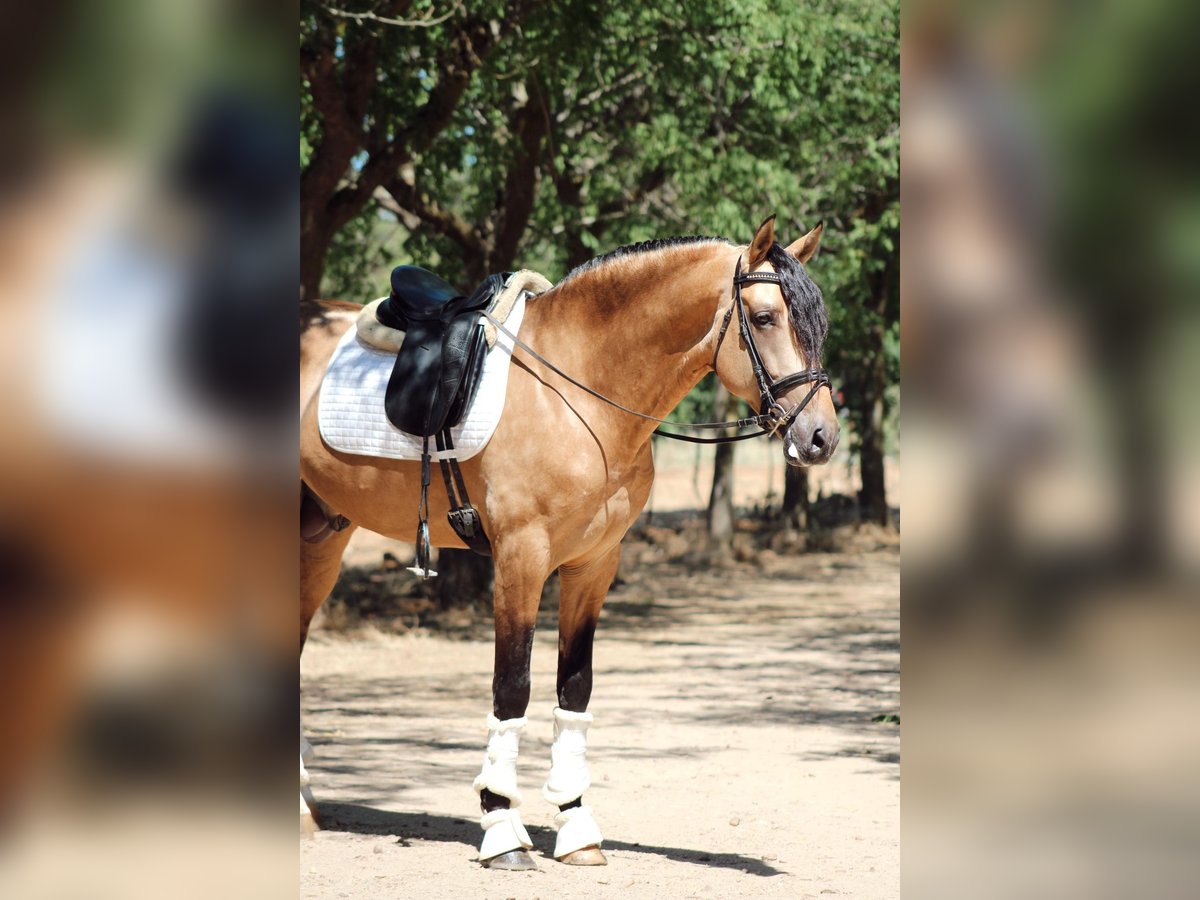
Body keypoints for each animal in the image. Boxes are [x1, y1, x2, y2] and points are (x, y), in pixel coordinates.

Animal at [298, 214, 840, 868]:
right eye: (763, 318)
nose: (821, 437)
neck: (579, 389)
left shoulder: (594, 563)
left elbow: (574, 687)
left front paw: (577, 826)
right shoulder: (520, 558)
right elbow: (513, 687)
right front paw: (502, 828)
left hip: (322, 540)